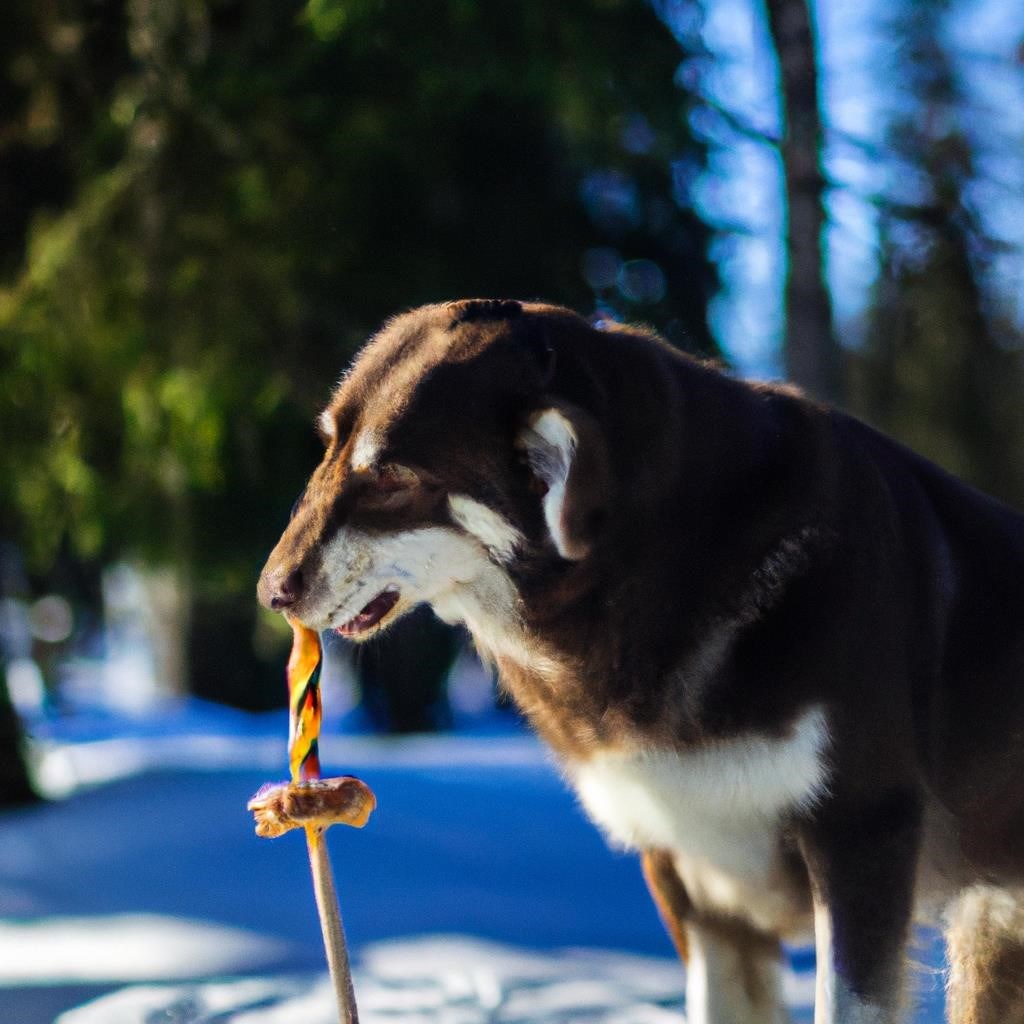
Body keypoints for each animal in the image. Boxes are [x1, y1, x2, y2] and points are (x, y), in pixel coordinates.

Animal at [258, 299, 1024, 1024]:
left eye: (392, 478)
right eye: (327, 448)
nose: (271, 591)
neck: (675, 566)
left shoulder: (862, 834)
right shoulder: (690, 873)